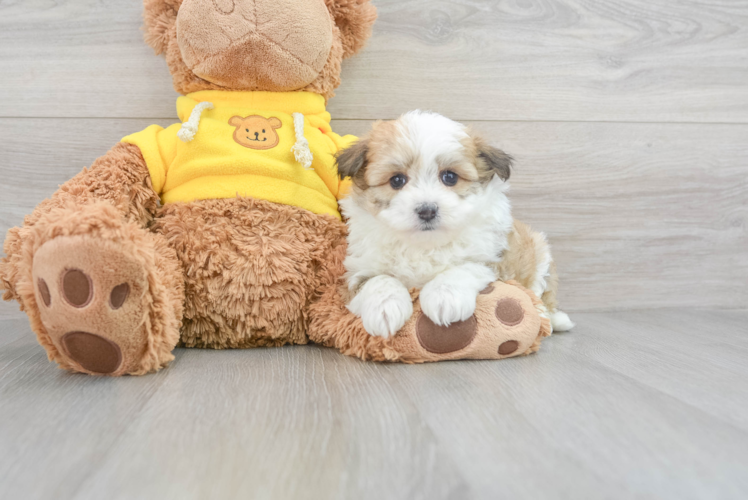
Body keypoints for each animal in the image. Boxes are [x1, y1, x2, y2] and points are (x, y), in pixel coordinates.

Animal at [336, 111, 576, 338]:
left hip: (539, 253)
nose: (427, 210)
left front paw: (445, 297)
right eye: (397, 180)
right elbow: (378, 280)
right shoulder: (358, 269)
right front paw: (385, 308)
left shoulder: (493, 259)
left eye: (450, 177)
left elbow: (464, 267)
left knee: (540, 293)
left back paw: (551, 319)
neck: (425, 245)